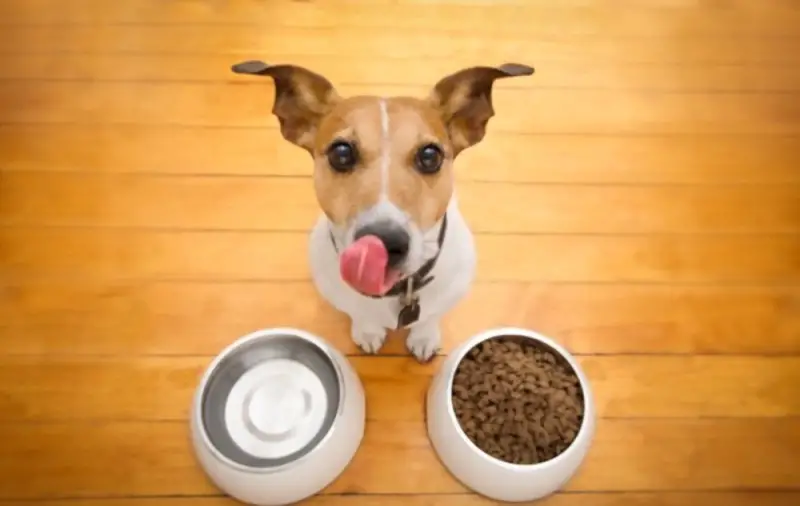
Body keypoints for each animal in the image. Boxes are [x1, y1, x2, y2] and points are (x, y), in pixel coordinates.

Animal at [231, 61, 532, 362]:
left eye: (430, 155)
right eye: (341, 153)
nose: (385, 242)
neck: (396, 291)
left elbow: (429, 318)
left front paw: (424, 337)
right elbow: (361, 316)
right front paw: (368, 332)